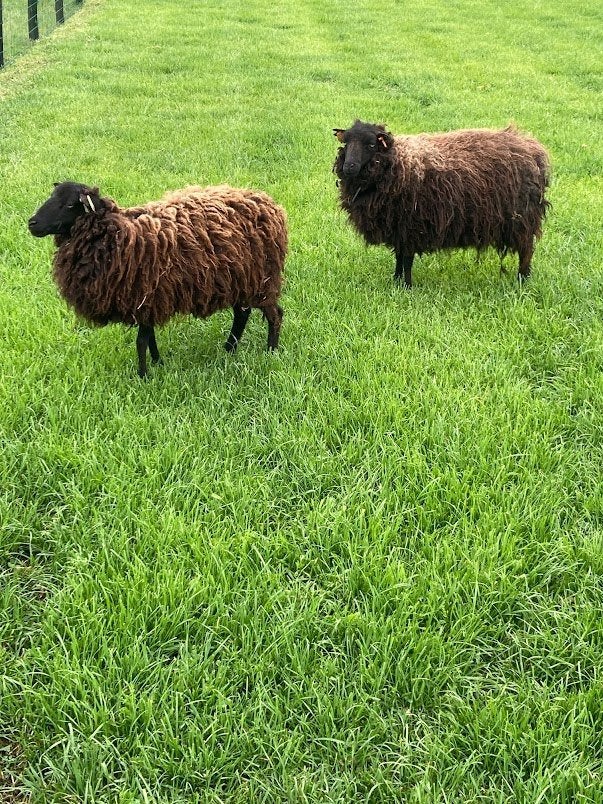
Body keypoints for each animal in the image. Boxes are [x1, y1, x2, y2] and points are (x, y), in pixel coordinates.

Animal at [28, 181, 287, 377]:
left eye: (70, 204)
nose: (32, 223)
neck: (121, 235)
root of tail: (268, 203)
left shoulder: (145, 296)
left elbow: (141, 340)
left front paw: (143, 375)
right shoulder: (149, 300)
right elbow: (149, 337)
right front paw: (157, 362)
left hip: (262, 279)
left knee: (274, 314)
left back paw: (270, 351)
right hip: (239, 279)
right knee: (242, 313)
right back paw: (229, 348)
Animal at [333, 120, 550, 287]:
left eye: (371, 145)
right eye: (347, 143)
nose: (349, 167)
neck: (399, 163)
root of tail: (533, 148)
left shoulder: (410, 225)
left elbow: (407, 260)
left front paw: (407, 287)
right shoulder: (398, 228)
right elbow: (399, 258)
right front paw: (395, 281)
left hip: (522, 219)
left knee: (526, 251)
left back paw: (522, 280)